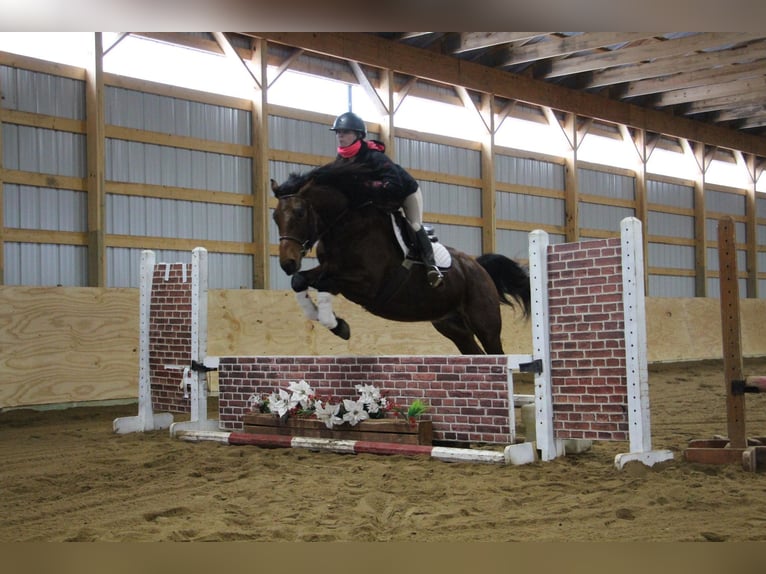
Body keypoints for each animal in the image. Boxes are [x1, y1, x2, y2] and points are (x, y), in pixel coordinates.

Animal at [272, 159, 532, 356]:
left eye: (299, 212)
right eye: (275, 217)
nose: (287, 263)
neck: (346, 225)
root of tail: (478, 266)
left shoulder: (367, 284)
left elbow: (326, 283)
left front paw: (337, 325)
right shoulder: (329, 268)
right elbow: (300, 281)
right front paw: (334, 323)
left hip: (485, 322)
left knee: (495, 351)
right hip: (452, 326)